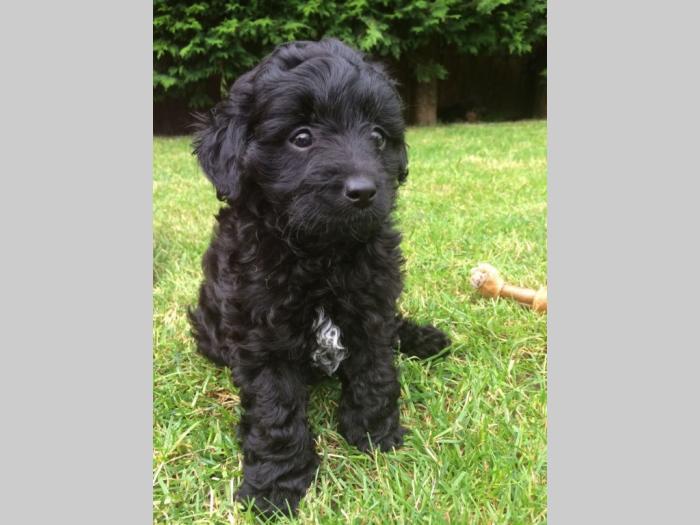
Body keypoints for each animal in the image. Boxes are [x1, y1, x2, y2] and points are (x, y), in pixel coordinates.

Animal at [189, 38, 451, 516]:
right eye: (301, 138)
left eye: (377, 136)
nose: (364, 191)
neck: (319, 253)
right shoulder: (260, 331)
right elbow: (275, 409)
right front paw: (276, 486)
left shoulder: (372, 302)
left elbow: (375, 368)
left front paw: (374, 434)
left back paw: (425, 339)